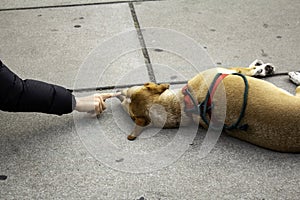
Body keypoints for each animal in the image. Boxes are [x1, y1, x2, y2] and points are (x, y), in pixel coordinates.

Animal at [116, 60, 300, 152]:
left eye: (129, 94)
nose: (118, 91)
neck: (184, 104)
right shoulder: (228, 70)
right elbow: (245, 69)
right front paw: (261, 68)